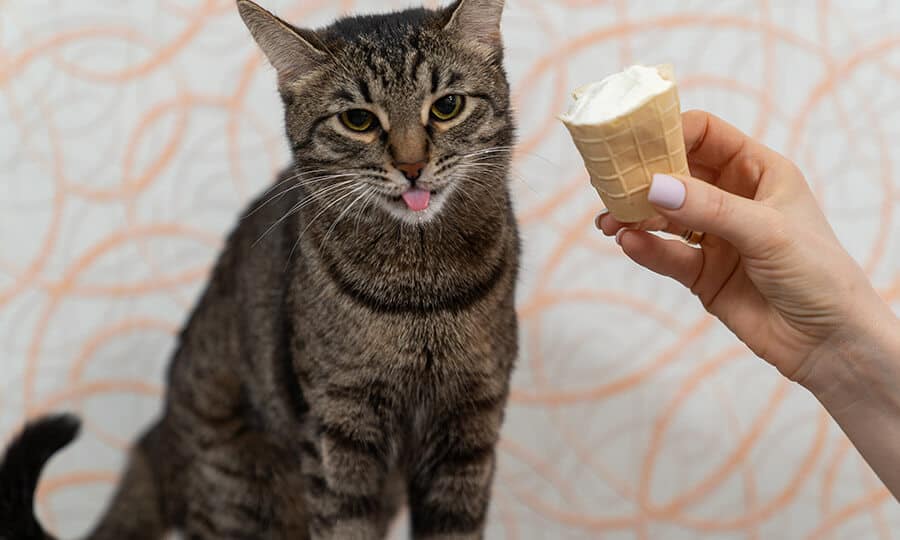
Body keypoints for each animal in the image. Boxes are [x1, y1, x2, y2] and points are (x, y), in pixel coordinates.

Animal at [1, 0, 520, 536]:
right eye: (357, 119)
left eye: (446, 106)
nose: (412, 167)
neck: (422, 291)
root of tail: (157, 438)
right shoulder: (338, 425)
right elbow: (344, 521)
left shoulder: (470, 421)